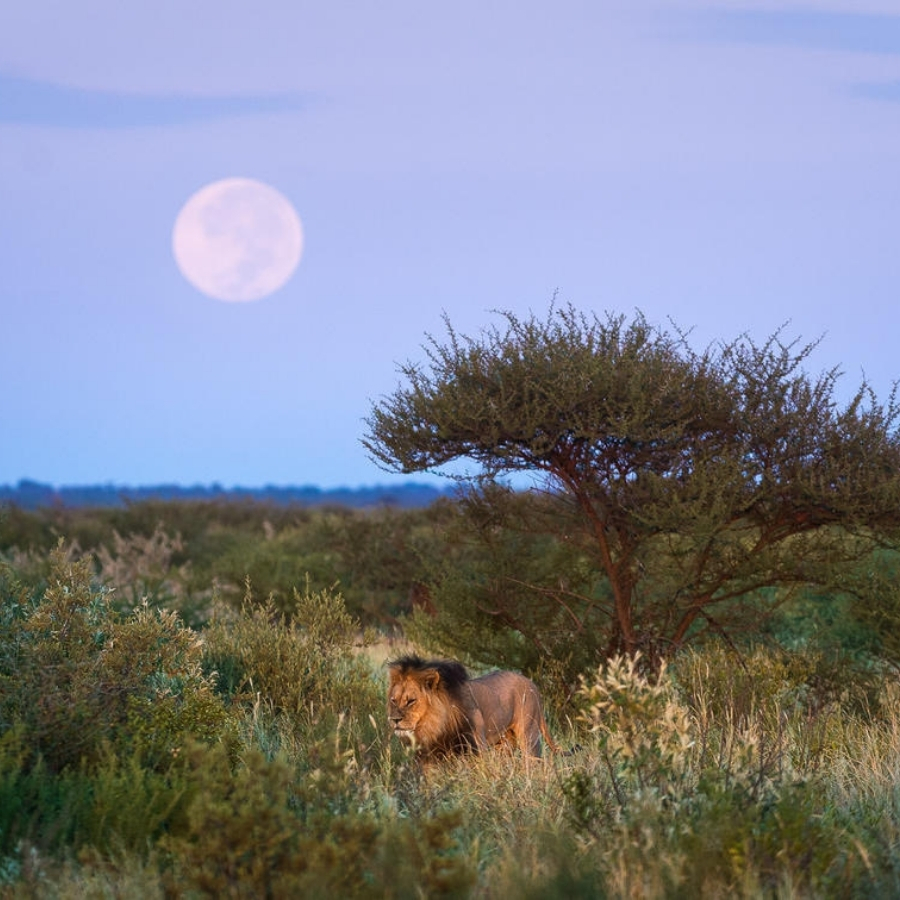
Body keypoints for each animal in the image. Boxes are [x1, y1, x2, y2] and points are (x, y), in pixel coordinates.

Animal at [388, 656, 560, 764]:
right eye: (393, 700)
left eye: (411, 701)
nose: (394, 720)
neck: (436, 725)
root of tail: (533, 684)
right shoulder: (431, 754)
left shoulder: (477, 748)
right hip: (504, 743)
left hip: (528, 736)